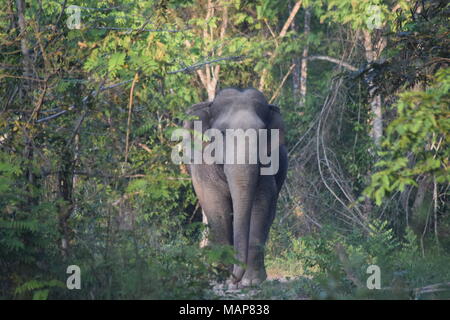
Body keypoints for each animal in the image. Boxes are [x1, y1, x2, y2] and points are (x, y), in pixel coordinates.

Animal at [181, 88, 286, 288]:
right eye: (221, 133)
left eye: (262, 134)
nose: (235, 277)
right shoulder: (203, 160)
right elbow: (215, 203)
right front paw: (223, 277)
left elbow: (262, 201)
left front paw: (251, 281)